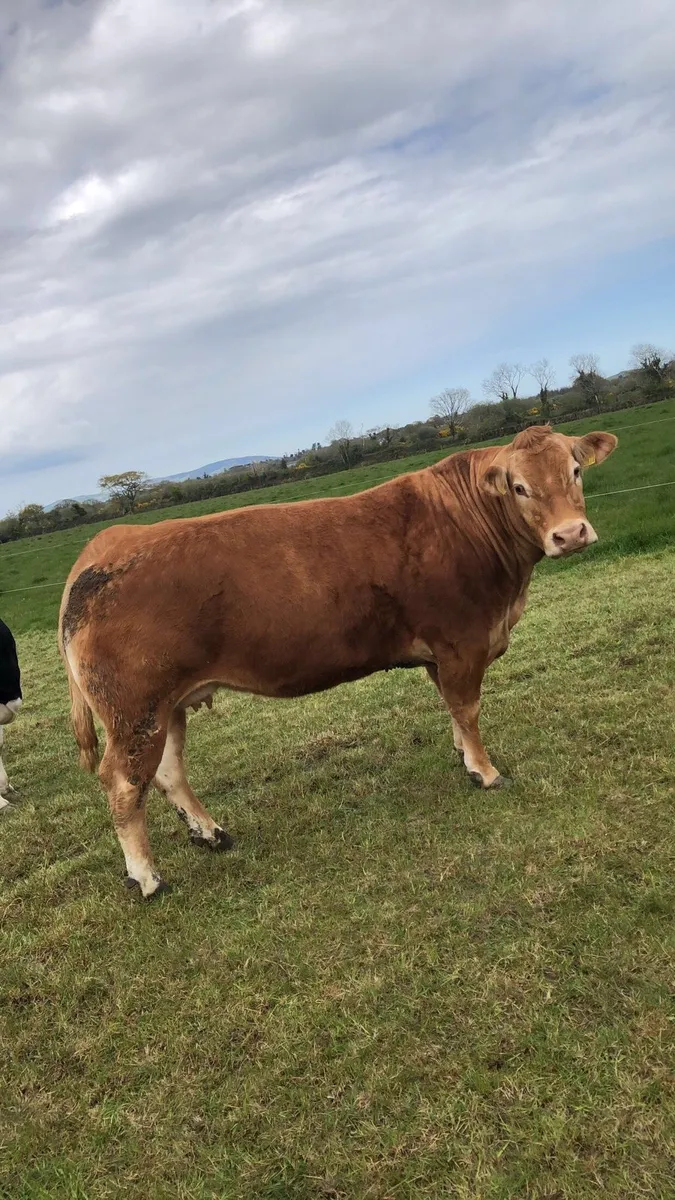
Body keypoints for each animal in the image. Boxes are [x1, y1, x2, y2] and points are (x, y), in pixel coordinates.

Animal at [57, 427, 614, 897]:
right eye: (520, 487)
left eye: (575, 470)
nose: (570, 534)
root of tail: (102, 549)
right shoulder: (462, 643)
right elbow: (468, 709)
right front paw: (485, 771)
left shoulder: (442, 654)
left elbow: (454, 711)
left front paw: (463, 757)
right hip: (135, 713)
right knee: (124, 786)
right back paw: (147, 878)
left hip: (165, 706)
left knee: (168, 772)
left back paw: (212, 834)